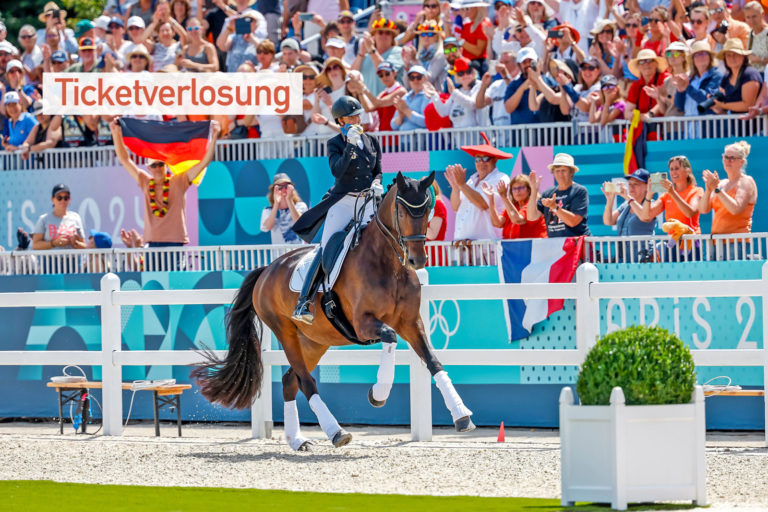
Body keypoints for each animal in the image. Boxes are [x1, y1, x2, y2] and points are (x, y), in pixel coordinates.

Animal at [194, 171, 474, 448]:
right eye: (402, 212)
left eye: (427, 210)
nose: (418, 260)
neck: (389, 264)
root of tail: (266, 270)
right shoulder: (362, 323)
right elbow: (389, 336)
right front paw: (378, 393)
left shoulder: (411, 323)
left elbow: (433, 361)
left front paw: (461, 416)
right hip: (286, 332)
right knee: (306, 381)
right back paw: (336, 432)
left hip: (315, 341)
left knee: (289, 381)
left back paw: (298, 440)